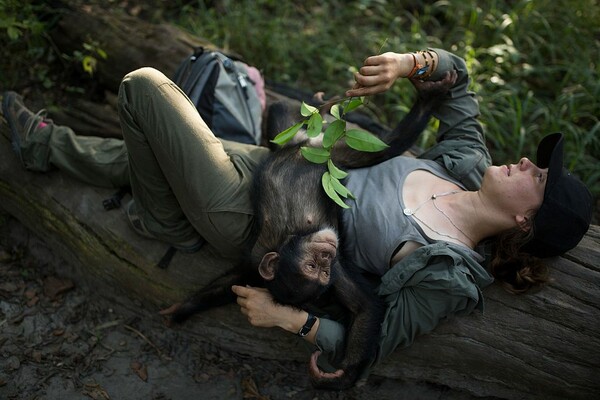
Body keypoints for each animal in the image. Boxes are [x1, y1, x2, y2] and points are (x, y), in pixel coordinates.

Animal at [166, 70, 458, 390]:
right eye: (314, 269)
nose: (326, 257)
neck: (290, 238)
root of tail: (303, 142)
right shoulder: (257, 265)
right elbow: (225, 286)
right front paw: (181, 309)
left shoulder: (328, 267)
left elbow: (365, 307)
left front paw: (343, 374)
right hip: (301, 140)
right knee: (282, 114)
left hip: (332, 150)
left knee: (384, 145)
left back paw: (424, 97)